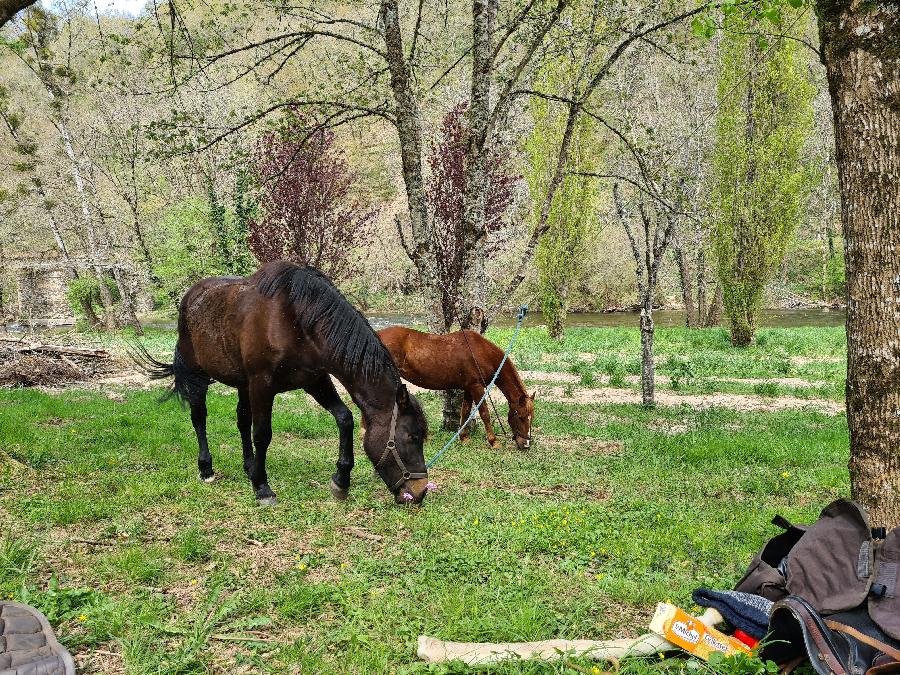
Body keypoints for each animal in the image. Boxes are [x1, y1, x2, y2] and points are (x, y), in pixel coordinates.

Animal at [134, 262, 428, 504]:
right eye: (412, 436)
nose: (420, 492)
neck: (296, 320)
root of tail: (191, 296)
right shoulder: (263, 385)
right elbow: (262, 434)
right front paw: (262, 488)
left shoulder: (315, 380)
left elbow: (344, 418)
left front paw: (341, 480)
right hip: (198, 377)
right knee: (199, 418)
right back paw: (206, 468)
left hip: (243, 385)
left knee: (242, 421)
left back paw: (249, 467)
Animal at [374, 326, 532, 448]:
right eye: (522, 417)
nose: (526, 445)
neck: (482, 352)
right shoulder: (476, 387)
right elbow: (484, 413)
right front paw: (493, 442)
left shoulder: (469, 387)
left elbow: (466, 412)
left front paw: (464, 438)